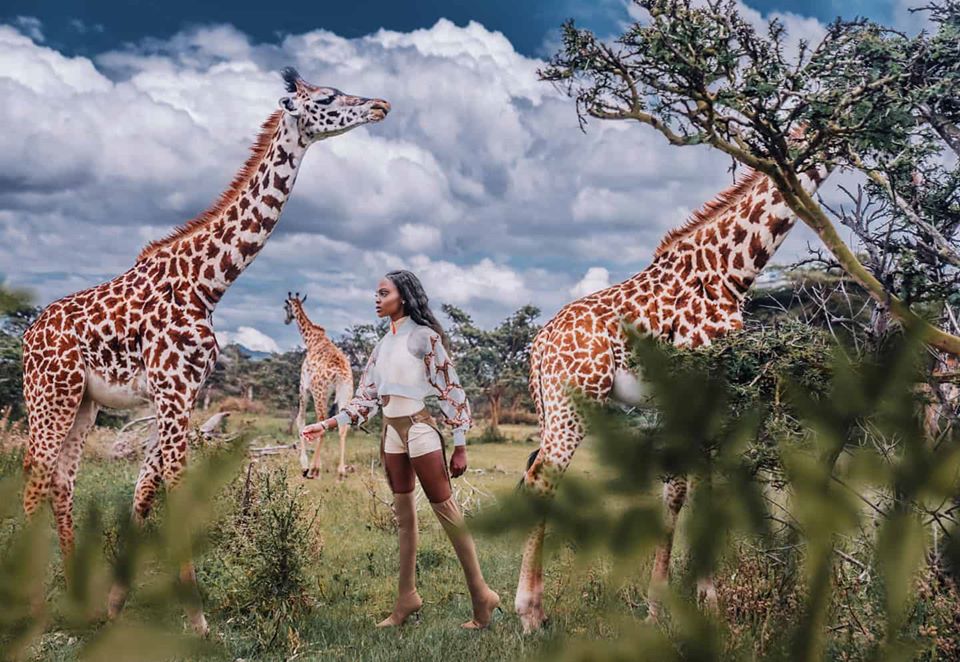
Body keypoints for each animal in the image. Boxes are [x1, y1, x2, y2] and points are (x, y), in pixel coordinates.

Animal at [283, 291, 354, 479]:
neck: (312, 340)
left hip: (319, 392)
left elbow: (300, 420)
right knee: (343, 426)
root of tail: (340, 373)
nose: (286, 320)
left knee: (322, 421)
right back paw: (341, 471)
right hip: (346, 392)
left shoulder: (303, 386)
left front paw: (304, 465)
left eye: (285, 307)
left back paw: (314, 469)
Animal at [515, 164, 830, 632]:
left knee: (534, 472)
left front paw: (667, 605)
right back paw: (529, 613)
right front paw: (700, 603)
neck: (731, 270)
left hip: (548, 408)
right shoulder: (704, 384)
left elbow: (680, 491)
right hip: (576, 401)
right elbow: (694, 488)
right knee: (542, 478)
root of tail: (539, 345)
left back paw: (535, 608)